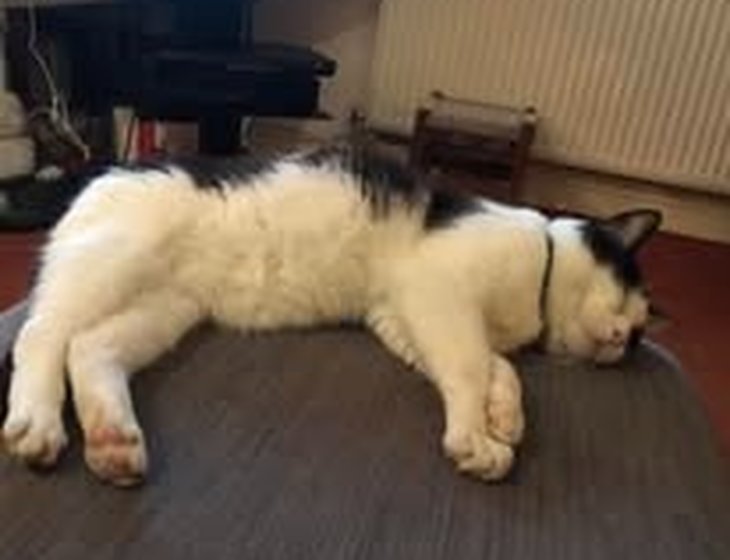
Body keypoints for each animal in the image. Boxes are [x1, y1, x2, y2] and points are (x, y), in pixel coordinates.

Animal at [2, 142, 661, 487]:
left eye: (636, 333)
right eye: (633, 303)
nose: (626, 340)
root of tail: (104, 170)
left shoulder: (404, 317)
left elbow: (498, 369)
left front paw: (506, 414)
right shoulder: (438, 291)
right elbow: (473, 366)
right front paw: (478, 437)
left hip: (165, 308)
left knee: (89, 348)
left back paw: (112, 440)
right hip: (114, 259)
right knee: (41, 334)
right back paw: (37, 423)